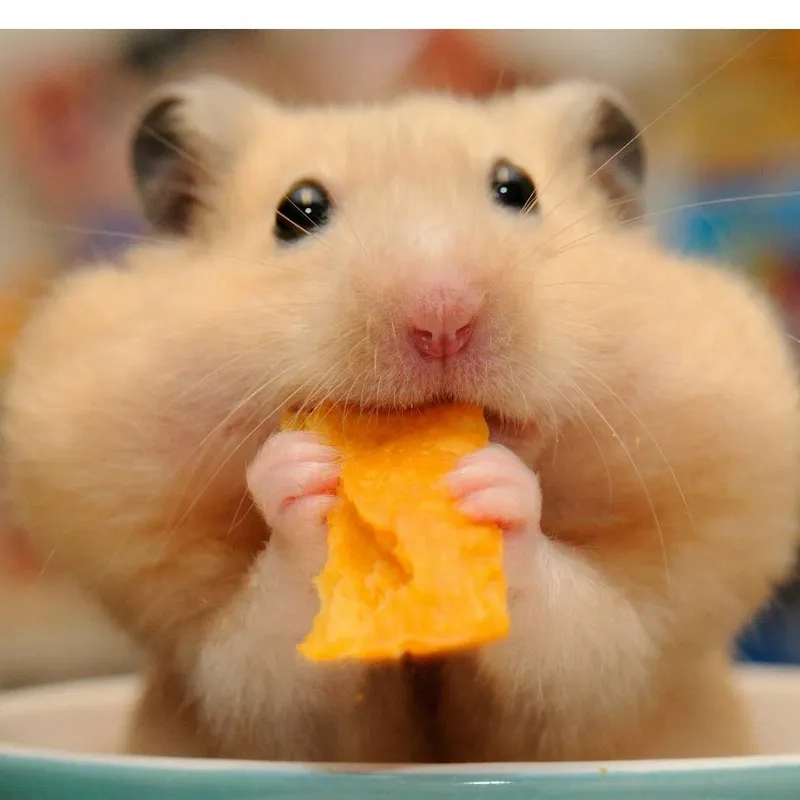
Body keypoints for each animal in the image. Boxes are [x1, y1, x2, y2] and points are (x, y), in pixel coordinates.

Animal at [3, 76, 799, 763]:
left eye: (517, 189)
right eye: (298, 210)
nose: (441, 314)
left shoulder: (623, 668)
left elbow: (579, 639)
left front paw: (492, 485)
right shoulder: (222, 680)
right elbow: (267, 658)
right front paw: (300, 473)